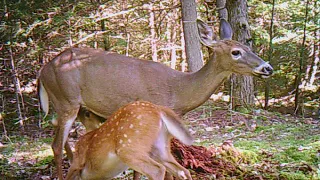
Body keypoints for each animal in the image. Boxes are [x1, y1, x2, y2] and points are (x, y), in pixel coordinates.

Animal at [38, 19, 272, 179]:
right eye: (236, 52)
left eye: (249, 45)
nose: (267, 68)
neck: (180, 90)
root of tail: (42, 72)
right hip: (65, 99)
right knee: (56, 145)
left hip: (83, 111)